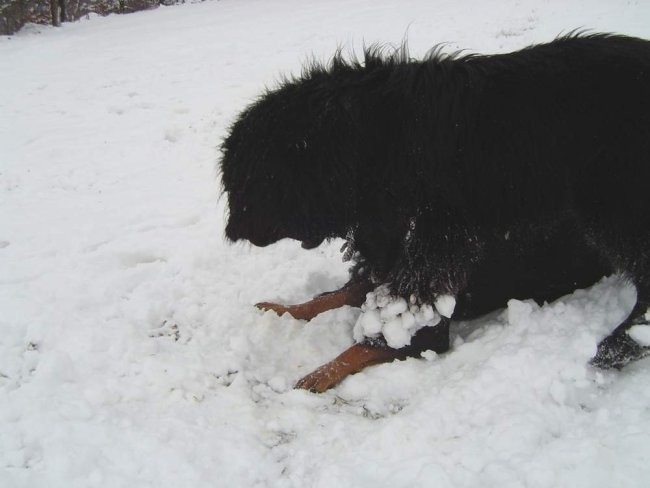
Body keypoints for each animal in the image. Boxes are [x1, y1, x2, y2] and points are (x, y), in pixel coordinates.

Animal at [219, 33, 648, 392]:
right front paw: (280, 309)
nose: (231, 232)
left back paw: (618, 345)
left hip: (614, 206)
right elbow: (326, 298)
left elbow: (360, 347)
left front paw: (310, 378)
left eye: (247, 184)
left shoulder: (429, 277)